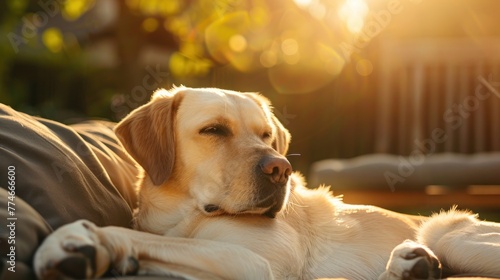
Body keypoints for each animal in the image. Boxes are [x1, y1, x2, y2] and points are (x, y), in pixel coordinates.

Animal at [34, 86, 500, 278]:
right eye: (214, 131)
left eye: (265, 135)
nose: (281, 169)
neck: (183, 215)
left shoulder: (256, 263)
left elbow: (144, 237)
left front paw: (72, 240)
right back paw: (409, 264)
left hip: (453, 237)